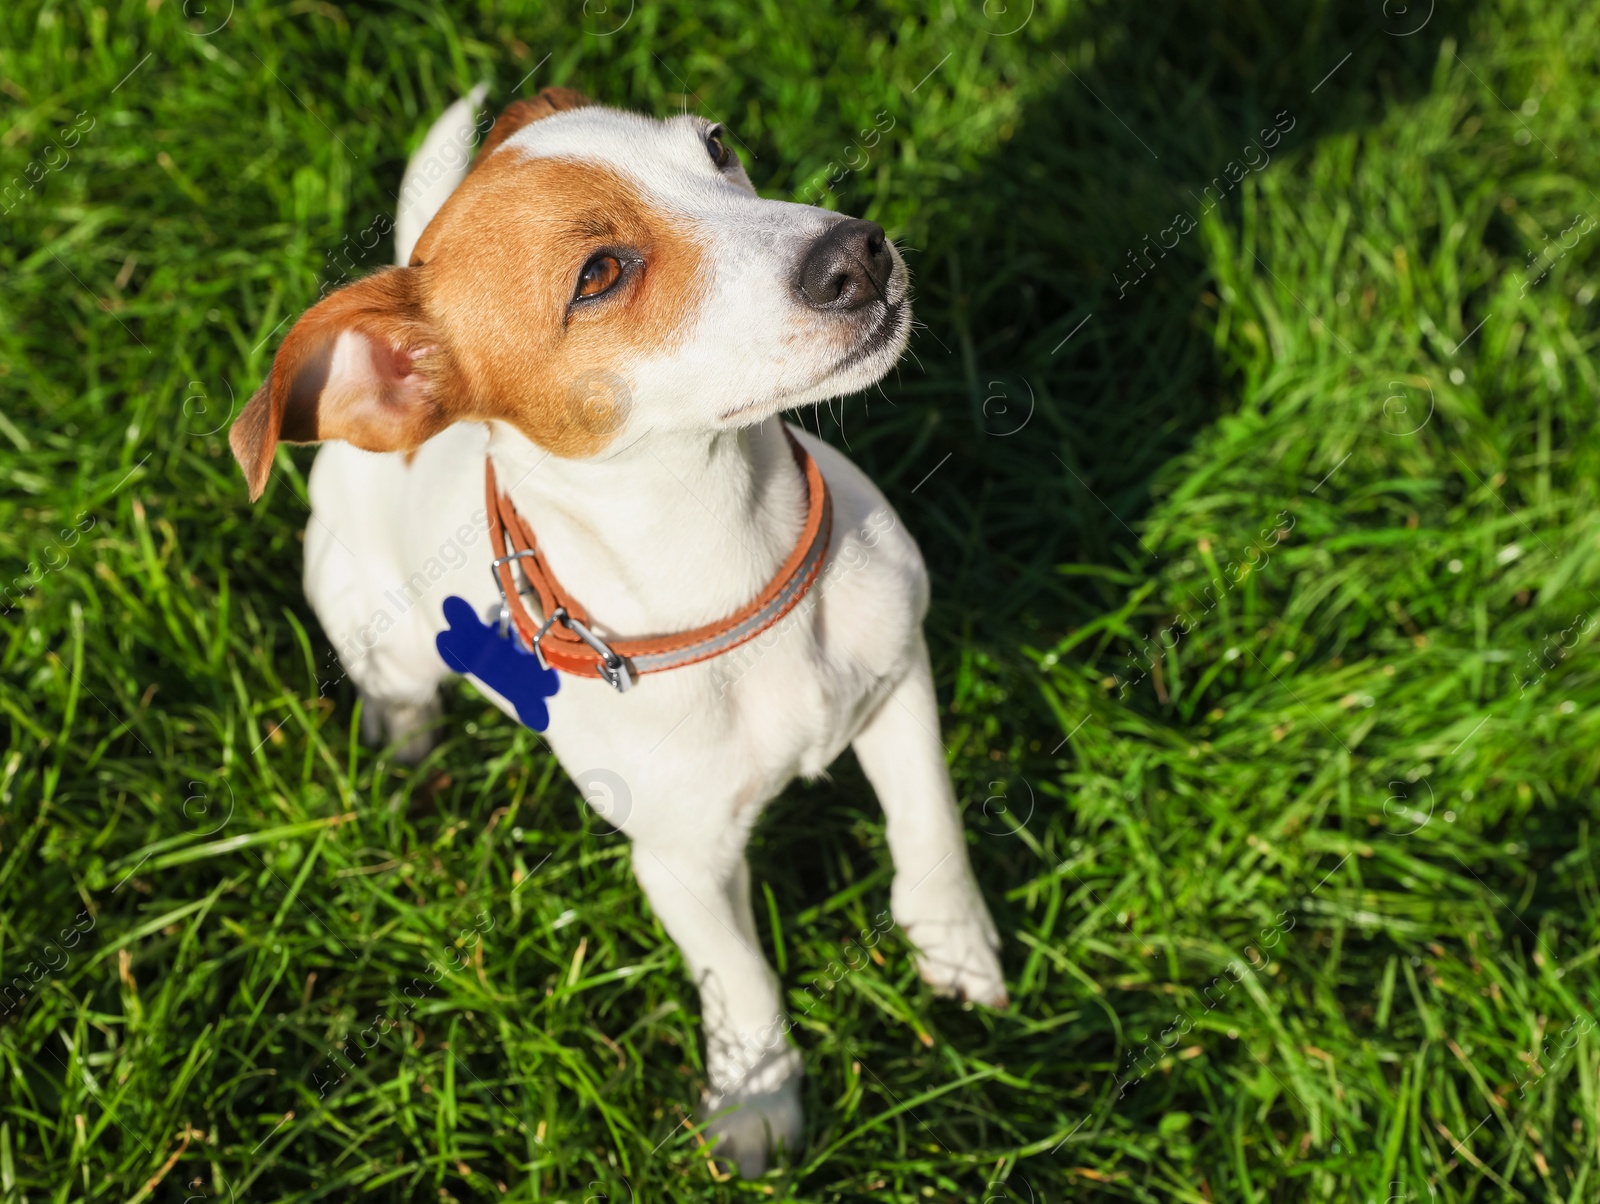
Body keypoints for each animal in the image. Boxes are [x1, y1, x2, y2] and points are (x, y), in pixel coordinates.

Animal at [228, 89, 998, 1178]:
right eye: (597, 274)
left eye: (717, 146)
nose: (857, 250)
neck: (733, 566)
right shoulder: (681, 862)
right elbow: (740, 979)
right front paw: (756, 1104)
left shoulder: (899, 678)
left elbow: (928, 825)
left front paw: (954, 945)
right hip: (377, 625)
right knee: (398, 687)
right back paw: (403, 744)